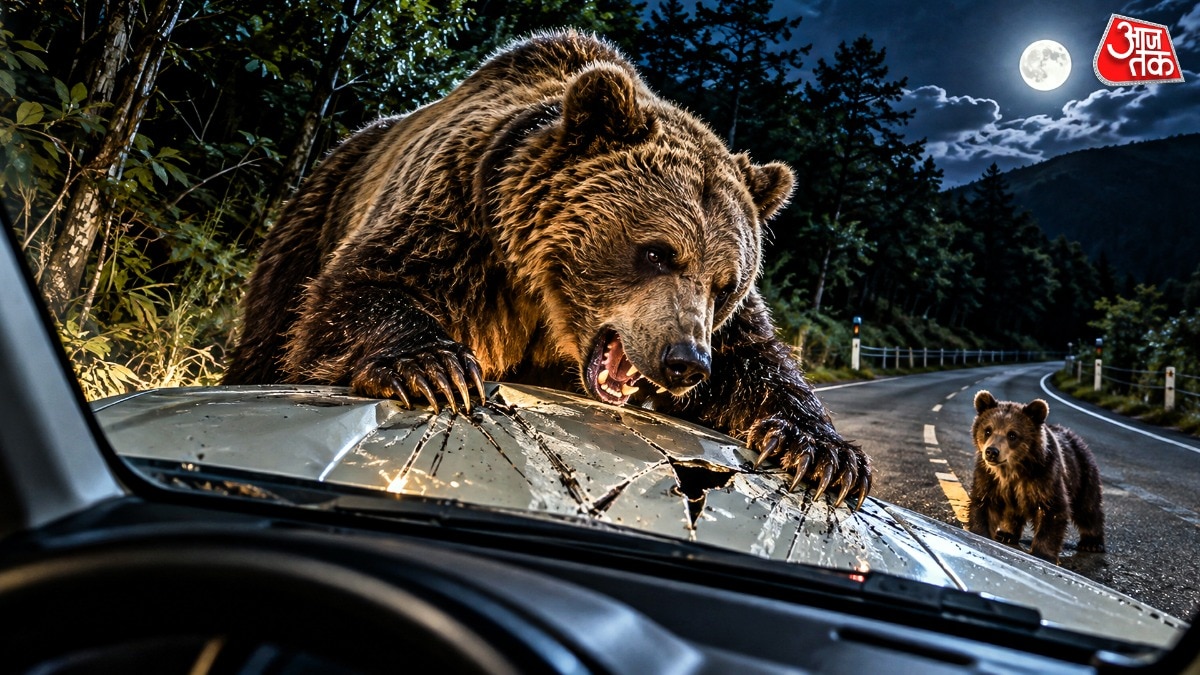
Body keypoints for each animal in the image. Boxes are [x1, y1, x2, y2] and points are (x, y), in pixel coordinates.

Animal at [223, 30, 871, 508]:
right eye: (657, 251)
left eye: (727, 283)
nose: (685, 361)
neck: (547, 301)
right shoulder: (461, 219)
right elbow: (365, 285)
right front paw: (436, 367)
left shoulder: (720, 328)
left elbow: (757, 362)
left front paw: (826, 456)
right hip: (315, 213)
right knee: (274, 322)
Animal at [967, 390, 1105, 563]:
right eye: (988, 430)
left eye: (1012, 435)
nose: (992, 452)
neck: (1014, 470)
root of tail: (1076, 438)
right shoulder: (989, 477)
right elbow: (984, 503)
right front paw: (980, 533)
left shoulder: (1045, 476)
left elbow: (1053, 510)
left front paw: (1043, 554)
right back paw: (1006, 533)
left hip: (1083, 473)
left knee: (1088, 508)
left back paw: (1092, 543)